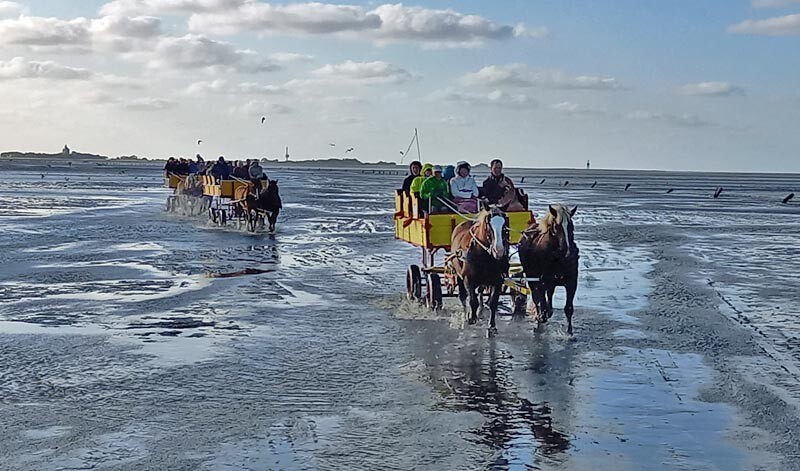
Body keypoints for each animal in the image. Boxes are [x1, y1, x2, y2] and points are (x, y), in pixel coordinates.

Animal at [447, 207, 510, 337]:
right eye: (488, 224)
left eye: (504, 225)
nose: (499, 251)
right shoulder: (468, 279)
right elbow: (472, 300)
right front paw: (471, 318)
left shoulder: (498, 281)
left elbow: (493, 303)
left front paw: (492, 327)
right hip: (458, 275)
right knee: (463, 296)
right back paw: (467, 314)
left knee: (480, 292)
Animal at [518, 204, 579, 335]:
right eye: (556, 226)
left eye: (571, 226)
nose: (566, 250)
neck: (558, 258)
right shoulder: (540, 280)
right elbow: (541, 302)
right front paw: (541, 317)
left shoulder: (572, 281)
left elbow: (569, 308)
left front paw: (570, 332)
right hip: (532, 277)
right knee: (537, 298)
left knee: (549, 294)